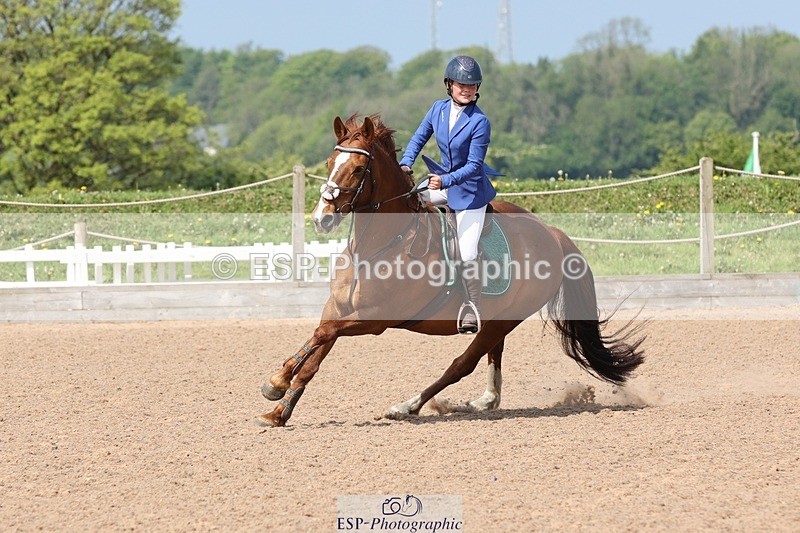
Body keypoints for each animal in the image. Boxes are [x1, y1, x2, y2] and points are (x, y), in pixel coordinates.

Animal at [256, 114, 645, 427]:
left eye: (357, 170)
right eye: (329, 162)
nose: (321, 219)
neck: (380, 245)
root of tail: (552, 233)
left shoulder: (376, 318)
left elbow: (322, 335)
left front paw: (276, 385)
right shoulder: (337, 309)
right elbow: (317, 346)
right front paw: (279, 407)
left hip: (505, 319)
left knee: (462, 364)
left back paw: (407, 407)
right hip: (497, 318)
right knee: (490, 364)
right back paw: (478, 402)